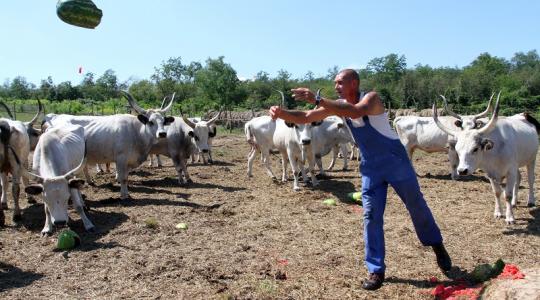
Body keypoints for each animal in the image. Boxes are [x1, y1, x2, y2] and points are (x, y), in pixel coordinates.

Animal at [432, 92, 536, 224]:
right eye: (457, 149)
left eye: (475, 149)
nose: (462, 171)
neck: (494, 152)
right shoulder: (491, 173)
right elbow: (497, 192)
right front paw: (498, 213)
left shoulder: (510, 170)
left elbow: (507, 194)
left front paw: (510, 217)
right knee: (519, 178)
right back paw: (514, 202)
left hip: (532, 159)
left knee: (530, 179)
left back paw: (531, 201)